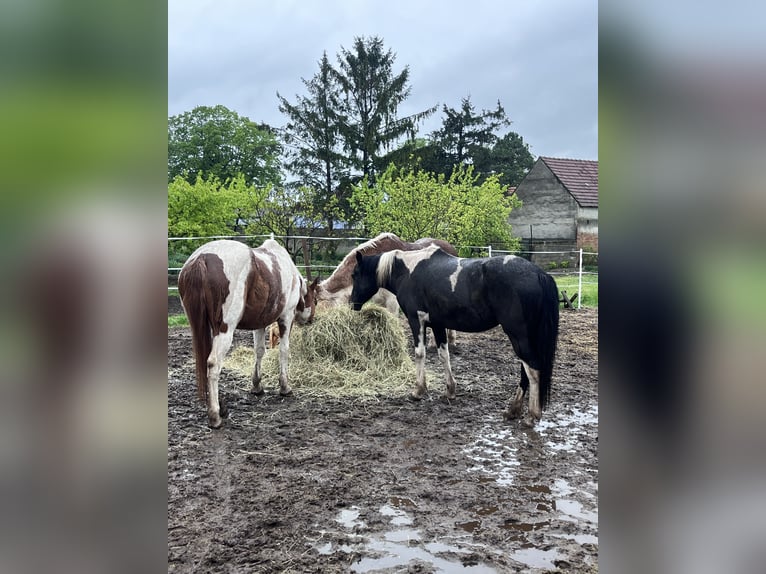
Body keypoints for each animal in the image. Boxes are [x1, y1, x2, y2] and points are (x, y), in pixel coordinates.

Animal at [178, 239, 319, 428]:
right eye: (315, 300)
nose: (311, 319)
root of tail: (202, 258)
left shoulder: (260, 324)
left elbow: (259, 351)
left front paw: (257, 386)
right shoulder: (286, 318)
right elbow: (283, 351)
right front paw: (285, 387)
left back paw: (221, 407)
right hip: (225, 330)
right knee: (213, 364)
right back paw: (215, 415)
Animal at [350, 245, 559, 426]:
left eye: (355, 275)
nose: (353, 304)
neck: (407, 270)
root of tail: (538, 274)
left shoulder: (416, 320)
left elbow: (420, 354)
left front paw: (418, 390)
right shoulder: (438, 325)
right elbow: (444, 355)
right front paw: (450, 391)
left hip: (518, 335)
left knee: (533, 370)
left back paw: (531, 416)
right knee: (526, 370)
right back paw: (513, 410)